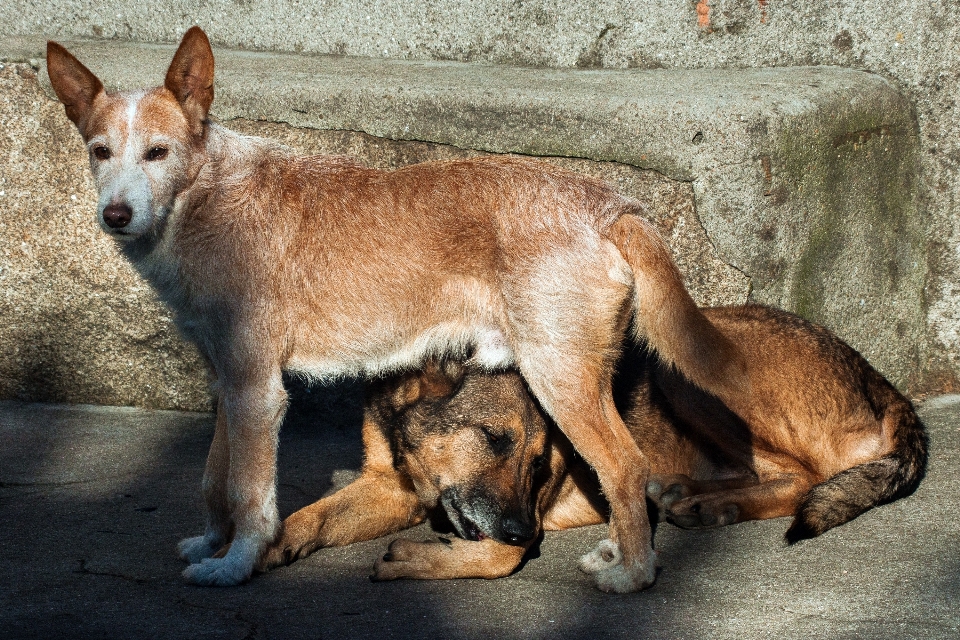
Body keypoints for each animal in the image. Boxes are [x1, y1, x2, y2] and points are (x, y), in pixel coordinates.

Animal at [45, 28, 744, 592]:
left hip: (562, 380)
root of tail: (613, 206)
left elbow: (250, 494)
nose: (116, 214)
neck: (204, 194)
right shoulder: (228, 382)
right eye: (100, 152)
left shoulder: (258, 390)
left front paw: (235, 565)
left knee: (627, 469)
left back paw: (633, 575)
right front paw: (212, 544)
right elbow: (215, 479)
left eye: (157, 153)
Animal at [253, 304, 924, 580]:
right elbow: (308, 517)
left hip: (682, 369)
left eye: (539, 463)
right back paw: (690, 494)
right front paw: (255, 549)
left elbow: (499, 557)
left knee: (805, 475)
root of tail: (878, 378)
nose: (522, 527)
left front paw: (418, 559)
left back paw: (711, 503)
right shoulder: (389, 486)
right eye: (492, 440)